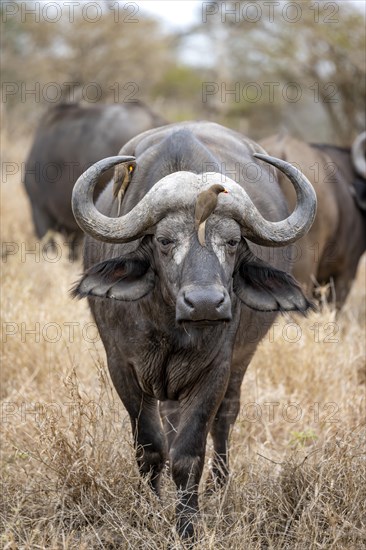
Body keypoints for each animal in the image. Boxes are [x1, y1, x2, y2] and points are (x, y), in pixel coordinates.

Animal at [72, 122, 318, 540]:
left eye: (232, 242)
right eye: (165, 240)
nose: (205, 303)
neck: (168, 326)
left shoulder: (214, 372)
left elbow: (188, 454)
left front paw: (187, 526)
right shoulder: (121, 367)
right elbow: (150, 447)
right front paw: (150, 506)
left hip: (241, 360)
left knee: (225, 418)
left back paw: (220, 485)